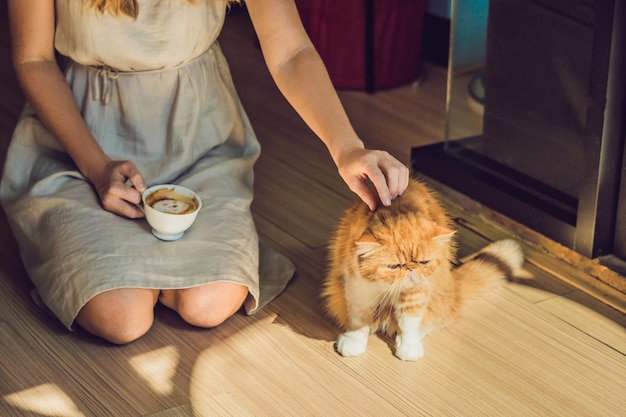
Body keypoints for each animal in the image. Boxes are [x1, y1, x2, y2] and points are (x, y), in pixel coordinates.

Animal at [322, 179, 520, 360]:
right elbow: (359, 320)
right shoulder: (359, 290)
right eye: (394, 266)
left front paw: (408, 347)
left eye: (423, 262)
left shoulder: (416, 294)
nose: (410, 268)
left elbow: (409, 323)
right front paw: (354, 340)